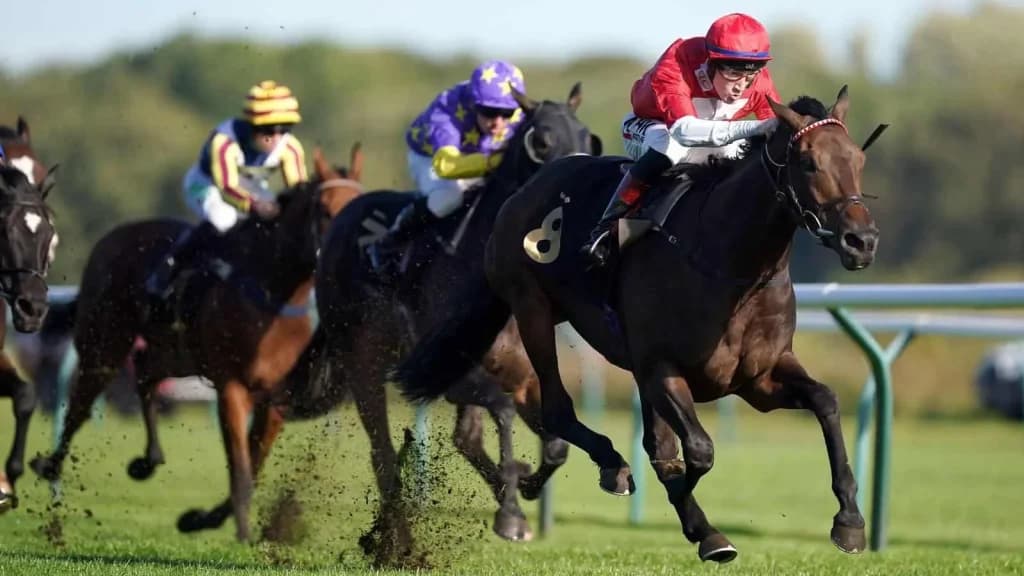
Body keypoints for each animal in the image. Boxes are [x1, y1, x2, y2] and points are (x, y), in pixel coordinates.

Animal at [29, 146, 363, 541]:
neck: (273, 294)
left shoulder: (274, 399)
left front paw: (202, 519)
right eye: (325, 210)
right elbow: (241, 467)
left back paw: (148, 460)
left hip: (176, 353)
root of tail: (114, 236)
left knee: (146, 375)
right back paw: (49, 465)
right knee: (80, 405)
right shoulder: (231, 386)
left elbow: (255, 463)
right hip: (104, 343)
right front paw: (241, 532)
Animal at [265, 84, 601, 556]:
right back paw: (395, 542)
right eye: (542, 142)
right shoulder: (449, 377)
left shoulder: (523, 374)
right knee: (383, 452)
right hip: (363, 364)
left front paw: (522, 487)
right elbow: (502, 412)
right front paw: (511, 512)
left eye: (587, 138)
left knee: (464, 439)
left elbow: (554, 446)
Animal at [395, 87, 884, 562]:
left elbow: (826, 402)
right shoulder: (659, 368)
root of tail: (523, 192)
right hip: (531, 307)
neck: (729, 264)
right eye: (809, 162)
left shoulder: (758, 378)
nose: (861, 241)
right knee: (556, 409)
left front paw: (850, 521)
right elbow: (696, 453)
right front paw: (702, 526)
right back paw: (596, 469)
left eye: (858, 161)